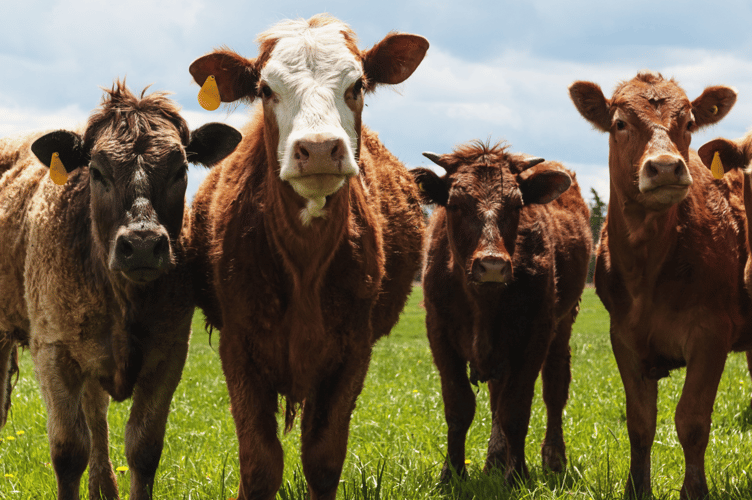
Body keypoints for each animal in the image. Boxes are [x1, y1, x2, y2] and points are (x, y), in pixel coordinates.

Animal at [0, 81, 241, 500]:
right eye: (97, 171)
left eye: (181, 169)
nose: (142, 244)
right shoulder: (53, 352)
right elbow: (68, 451)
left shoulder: (168, 354)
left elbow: (143, 448)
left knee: (95, 414)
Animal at [186, 14, 428, 500]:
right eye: (265, 89)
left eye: (358, 84)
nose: (318, 148)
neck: (304, 266)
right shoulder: (238, 347)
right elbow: (260, 462)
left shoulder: (352, 350)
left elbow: (323, 456)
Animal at [411, 142, 591, 484]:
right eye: (455, 204)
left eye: (517, 205)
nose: (492, 264)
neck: (483, 302)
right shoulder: (439, 334)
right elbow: (460, 407)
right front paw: (452, 474)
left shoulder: (534, 335)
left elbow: (516, 409)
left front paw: (517, 474)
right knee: (496, 396)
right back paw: (494, 458)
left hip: (563, 326)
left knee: (554, 388)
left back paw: (553, 458)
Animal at [569, 70, 752, 500]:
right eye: (620, 124)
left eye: (688, 123)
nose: (667, 167)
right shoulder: (624, 337)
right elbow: (640, 422)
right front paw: (637, 488)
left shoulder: (710, 335)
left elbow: (692, 420)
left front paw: (695, 491)